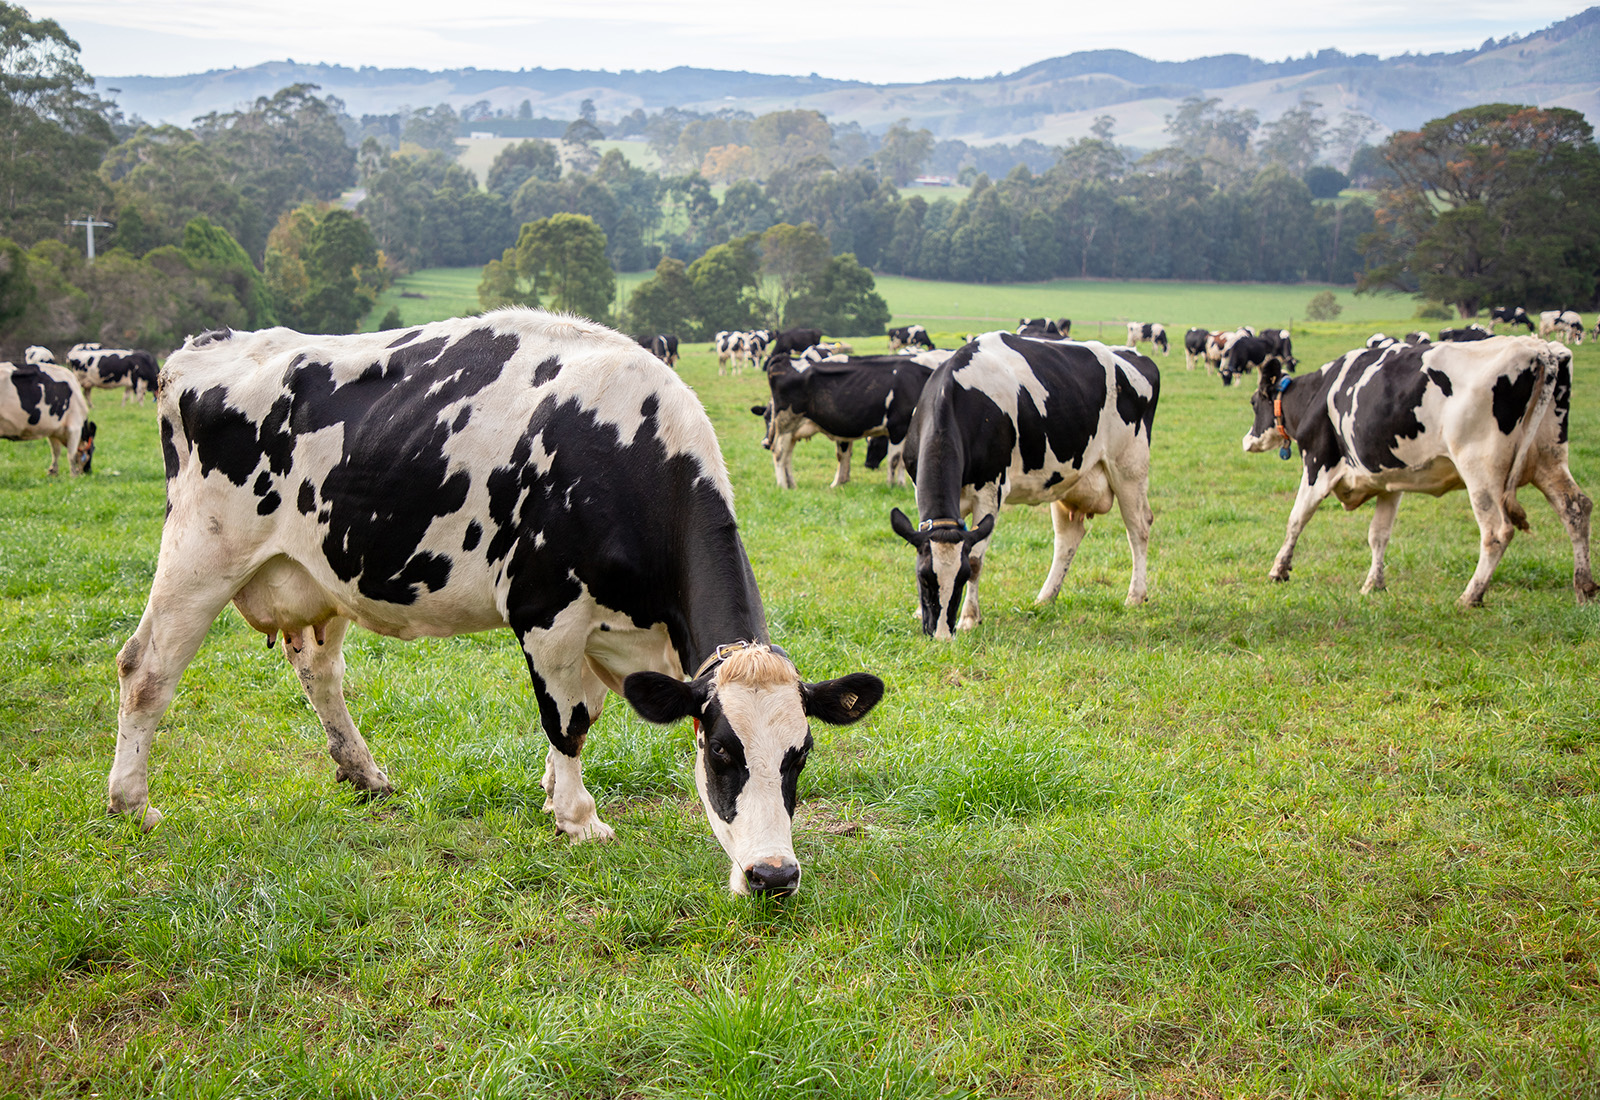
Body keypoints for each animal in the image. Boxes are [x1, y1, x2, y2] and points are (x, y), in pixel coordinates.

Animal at [106, 310, 885, 897]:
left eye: (800, 756)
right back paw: (132, 803)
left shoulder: (604, 634)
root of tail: (203, 348)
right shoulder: (545, 612)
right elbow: (567, 721)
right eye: (722, 752)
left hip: (317, 572)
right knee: (145, 669)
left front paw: (549, 792)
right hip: (200, 552)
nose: (773, 875)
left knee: (317, 673)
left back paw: (365, 775)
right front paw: (577, 817)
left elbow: (584, 713)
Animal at [757, 351, 946, 488]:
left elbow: (902, 460)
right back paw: (782, 485)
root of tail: (784, 359)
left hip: (792, 429)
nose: (763, 443)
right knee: (779, 453)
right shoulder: (898, 426)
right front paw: (894, 485)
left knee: (787, 455)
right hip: (786, 423)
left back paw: (791, 484)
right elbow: (894, 460)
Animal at [890, 333, 1159, 638]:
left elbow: (976, 560)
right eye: (923, 578)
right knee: (1068, 538)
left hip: (1129, 467)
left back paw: (1135, 596)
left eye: (961, 577)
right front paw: (918, 611)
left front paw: (969, 618)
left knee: (1138, 528)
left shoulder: (991, 489)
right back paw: (1045, 598)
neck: (954, 397)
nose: (942, 635)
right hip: (1067, 481)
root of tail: (1134, 354)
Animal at [1242, 337, 1595, 608]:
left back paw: (1471, 596)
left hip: (1480, 469)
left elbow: (1296, 519)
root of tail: (1539, 349)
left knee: (1497, 531)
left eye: (1253, 402)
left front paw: (1279, 570)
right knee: (1576, 508)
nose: (1247, 440)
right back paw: (1585, 588)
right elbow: (1378, 534)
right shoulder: (1388, 481)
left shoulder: (1318, 464)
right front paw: (1374, 584)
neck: (1317, 394)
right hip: (1548, 459)